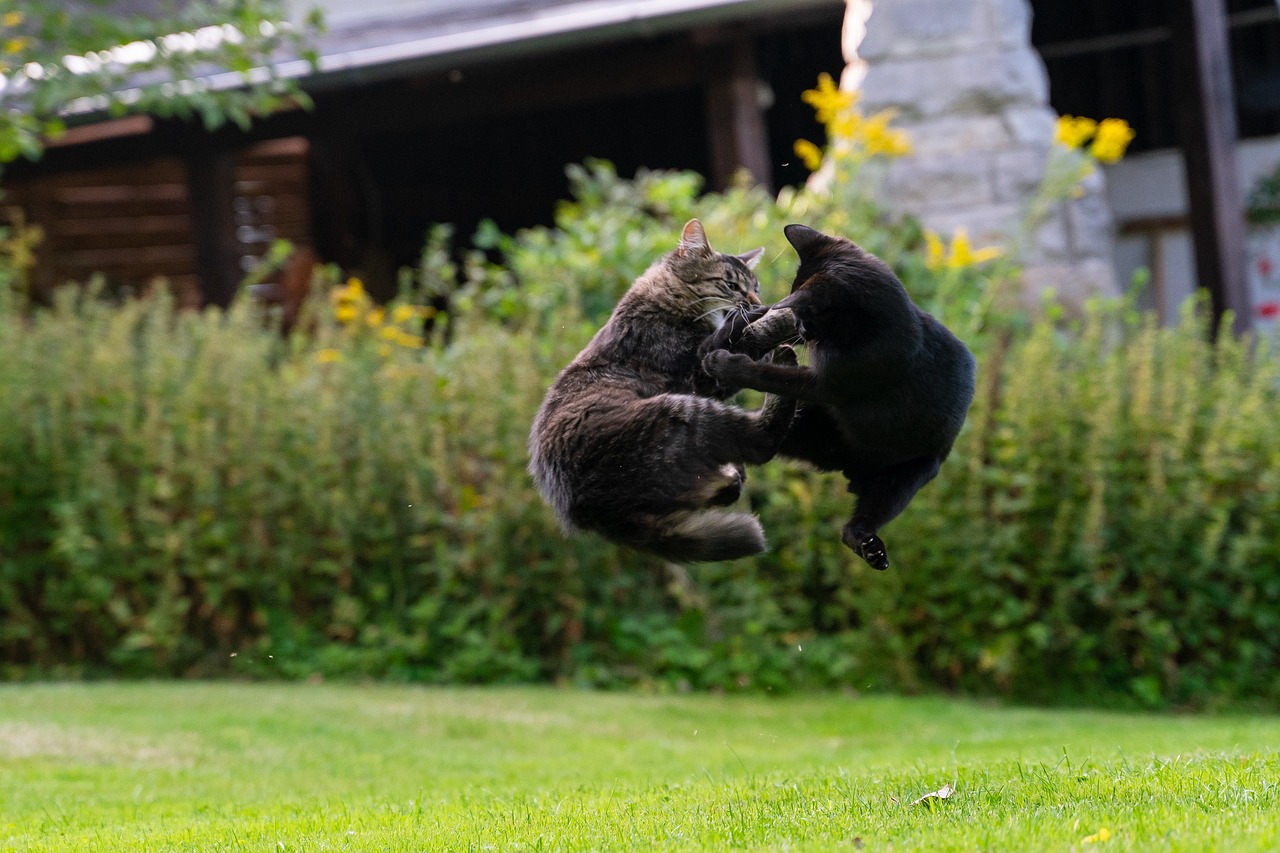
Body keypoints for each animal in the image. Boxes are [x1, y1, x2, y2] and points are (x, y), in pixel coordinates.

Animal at [527, 219, 788, 560]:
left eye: (755, 289)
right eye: (731, 286)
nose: (757, 302)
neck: (666, 298)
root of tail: (599, 515)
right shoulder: (697, 373)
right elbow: (731, 340)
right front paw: (759, 321)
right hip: (683, 411)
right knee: (763, 441)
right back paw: (785, 360)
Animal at [706, 222, 972, 568]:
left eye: (808, 311)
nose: (800, 330)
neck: (874, 328)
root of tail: (849, 468)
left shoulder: (825, 384)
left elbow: (770, 376)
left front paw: (726, 363)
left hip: (908, 475)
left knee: (855, 526)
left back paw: (869, 546)